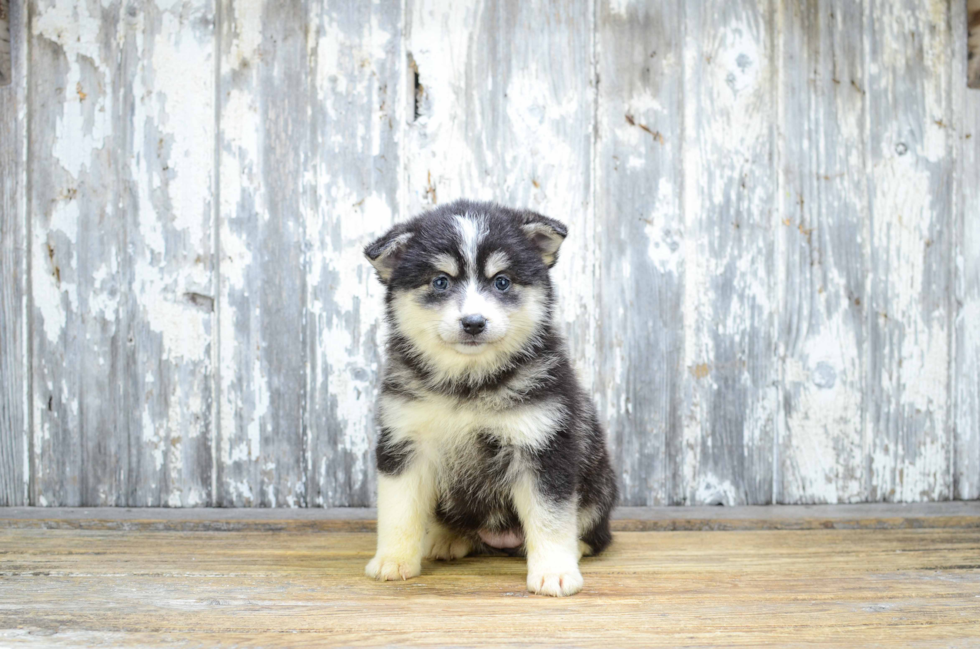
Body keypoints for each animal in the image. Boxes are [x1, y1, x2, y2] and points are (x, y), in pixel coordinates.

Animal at [364, 200, 616, 596]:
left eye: (502, 281)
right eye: (441, 281)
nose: (473, 323)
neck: (469, 384)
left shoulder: (544, 446)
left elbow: (550, 518)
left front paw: (555, 572)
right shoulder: (403, 443)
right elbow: (398, 511)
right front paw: (393, 560)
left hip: (599, 484)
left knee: (596, 534)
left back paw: (576, 547)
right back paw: (445, 539)